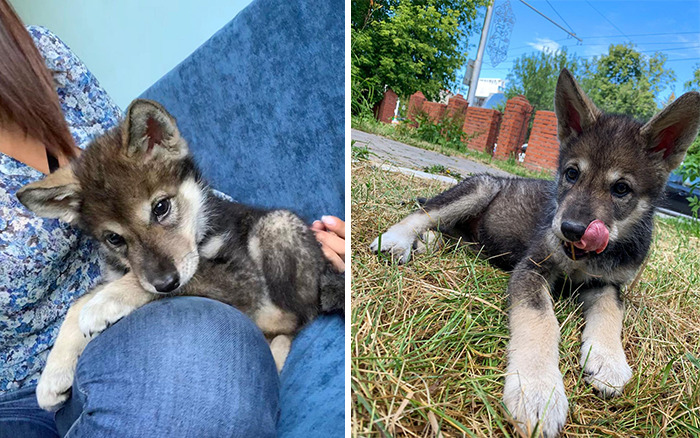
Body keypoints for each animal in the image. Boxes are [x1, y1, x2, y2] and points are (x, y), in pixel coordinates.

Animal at [22, 99, 348, 410]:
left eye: (161, 207)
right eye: (114, 238)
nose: (166, 283)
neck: (201, 225)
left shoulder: (243, 281)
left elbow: (151, 281)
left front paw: (106, 302)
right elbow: (77, 303)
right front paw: (53, 374)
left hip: (277, 224)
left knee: (294, 320)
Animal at [372, 70, 700, 436]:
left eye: (621, 189)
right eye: (572, 173)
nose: (570, 229)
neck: (585, 258)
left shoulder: (608, 284)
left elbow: (611, 313)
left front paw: (608, 360)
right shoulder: (531, 268)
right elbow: (542, 320)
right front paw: (538, 390)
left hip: (475, 236)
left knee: (450, 234)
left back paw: (427, 242)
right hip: (480, 188)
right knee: (424, 212)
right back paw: (398, 240)